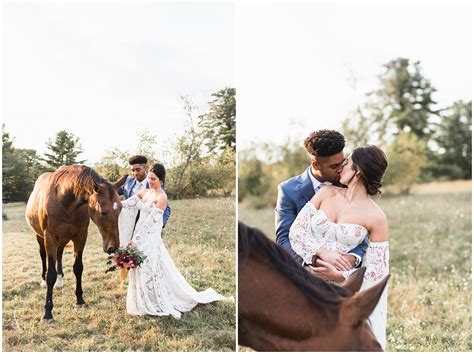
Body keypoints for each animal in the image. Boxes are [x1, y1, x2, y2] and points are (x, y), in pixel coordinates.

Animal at [25, 165, 126, 322]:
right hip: (40, 237)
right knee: (43, 256)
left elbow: (78, 268)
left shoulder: (80, 236)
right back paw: (42, 280)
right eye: (103, 212)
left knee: (59, 254)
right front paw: (47, 312)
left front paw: (79, 301)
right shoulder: (50, 237)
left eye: (120, 208)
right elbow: (50, 274)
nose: (113, 247)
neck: (64, 201)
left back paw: (60, 279)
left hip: (63, 239)